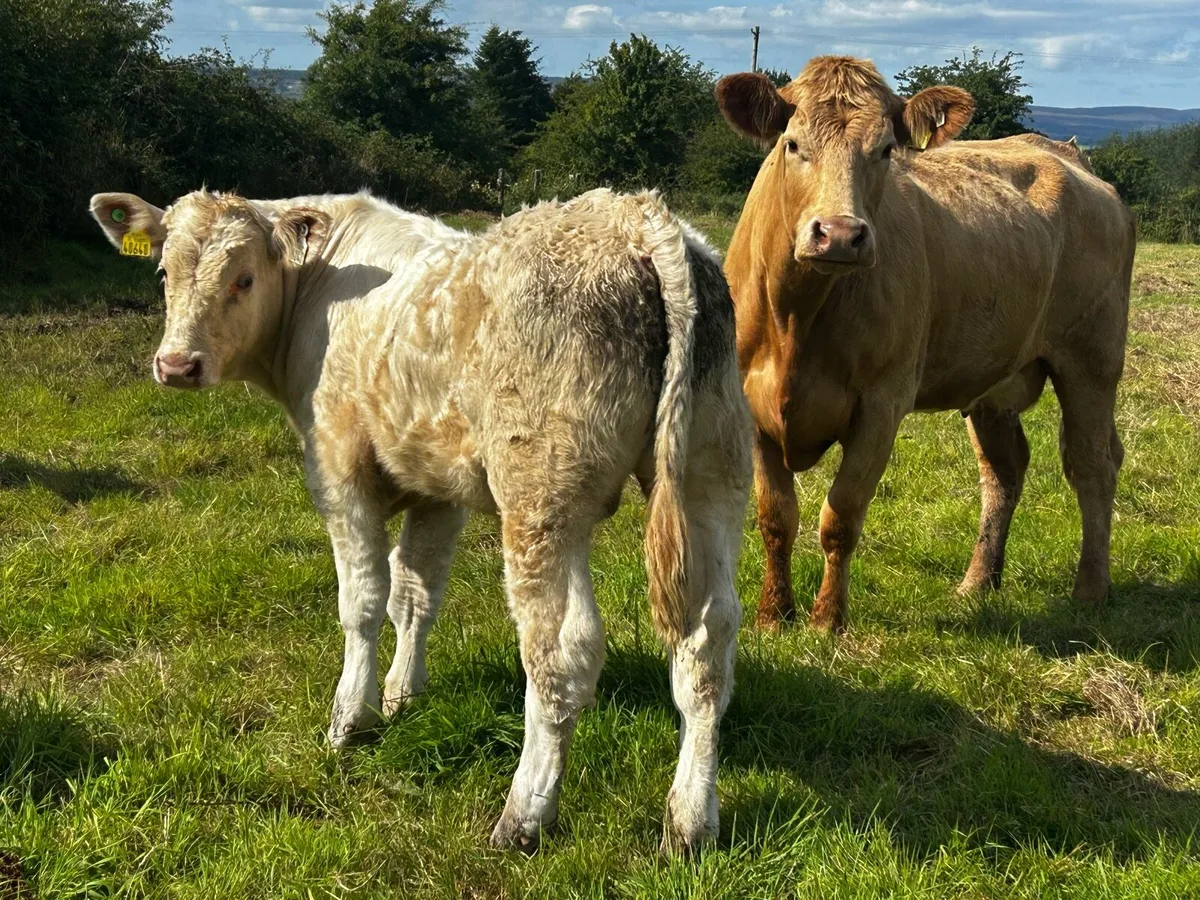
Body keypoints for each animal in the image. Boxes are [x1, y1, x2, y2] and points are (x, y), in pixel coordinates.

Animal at [89, 187, 752, 853]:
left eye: (243, 278)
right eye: (164, 272)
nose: (177, 364)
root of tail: (638, 217)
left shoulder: (339, 469)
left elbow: (362, 602)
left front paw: (350, 720)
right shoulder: (439, 487)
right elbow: (414, 594)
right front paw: (403, 695)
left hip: (542, 499)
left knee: (562, 653)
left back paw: (524, 815)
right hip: (711, 474)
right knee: (707, 644)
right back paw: (690, 822)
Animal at [715, 56, 1136, 632]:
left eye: (885, 150)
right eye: (793, 143)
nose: (840, 234)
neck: (796, 319)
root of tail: (1068, 156)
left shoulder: (882, 403)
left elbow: (840, 515)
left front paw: (827, 621)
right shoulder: (749, 401)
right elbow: (776, 517)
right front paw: (774, 615)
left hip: (1092, 359)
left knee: (1093, 463)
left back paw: (1090, 589)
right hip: (995, 378)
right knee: (1004, 470)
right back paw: (977, 582)